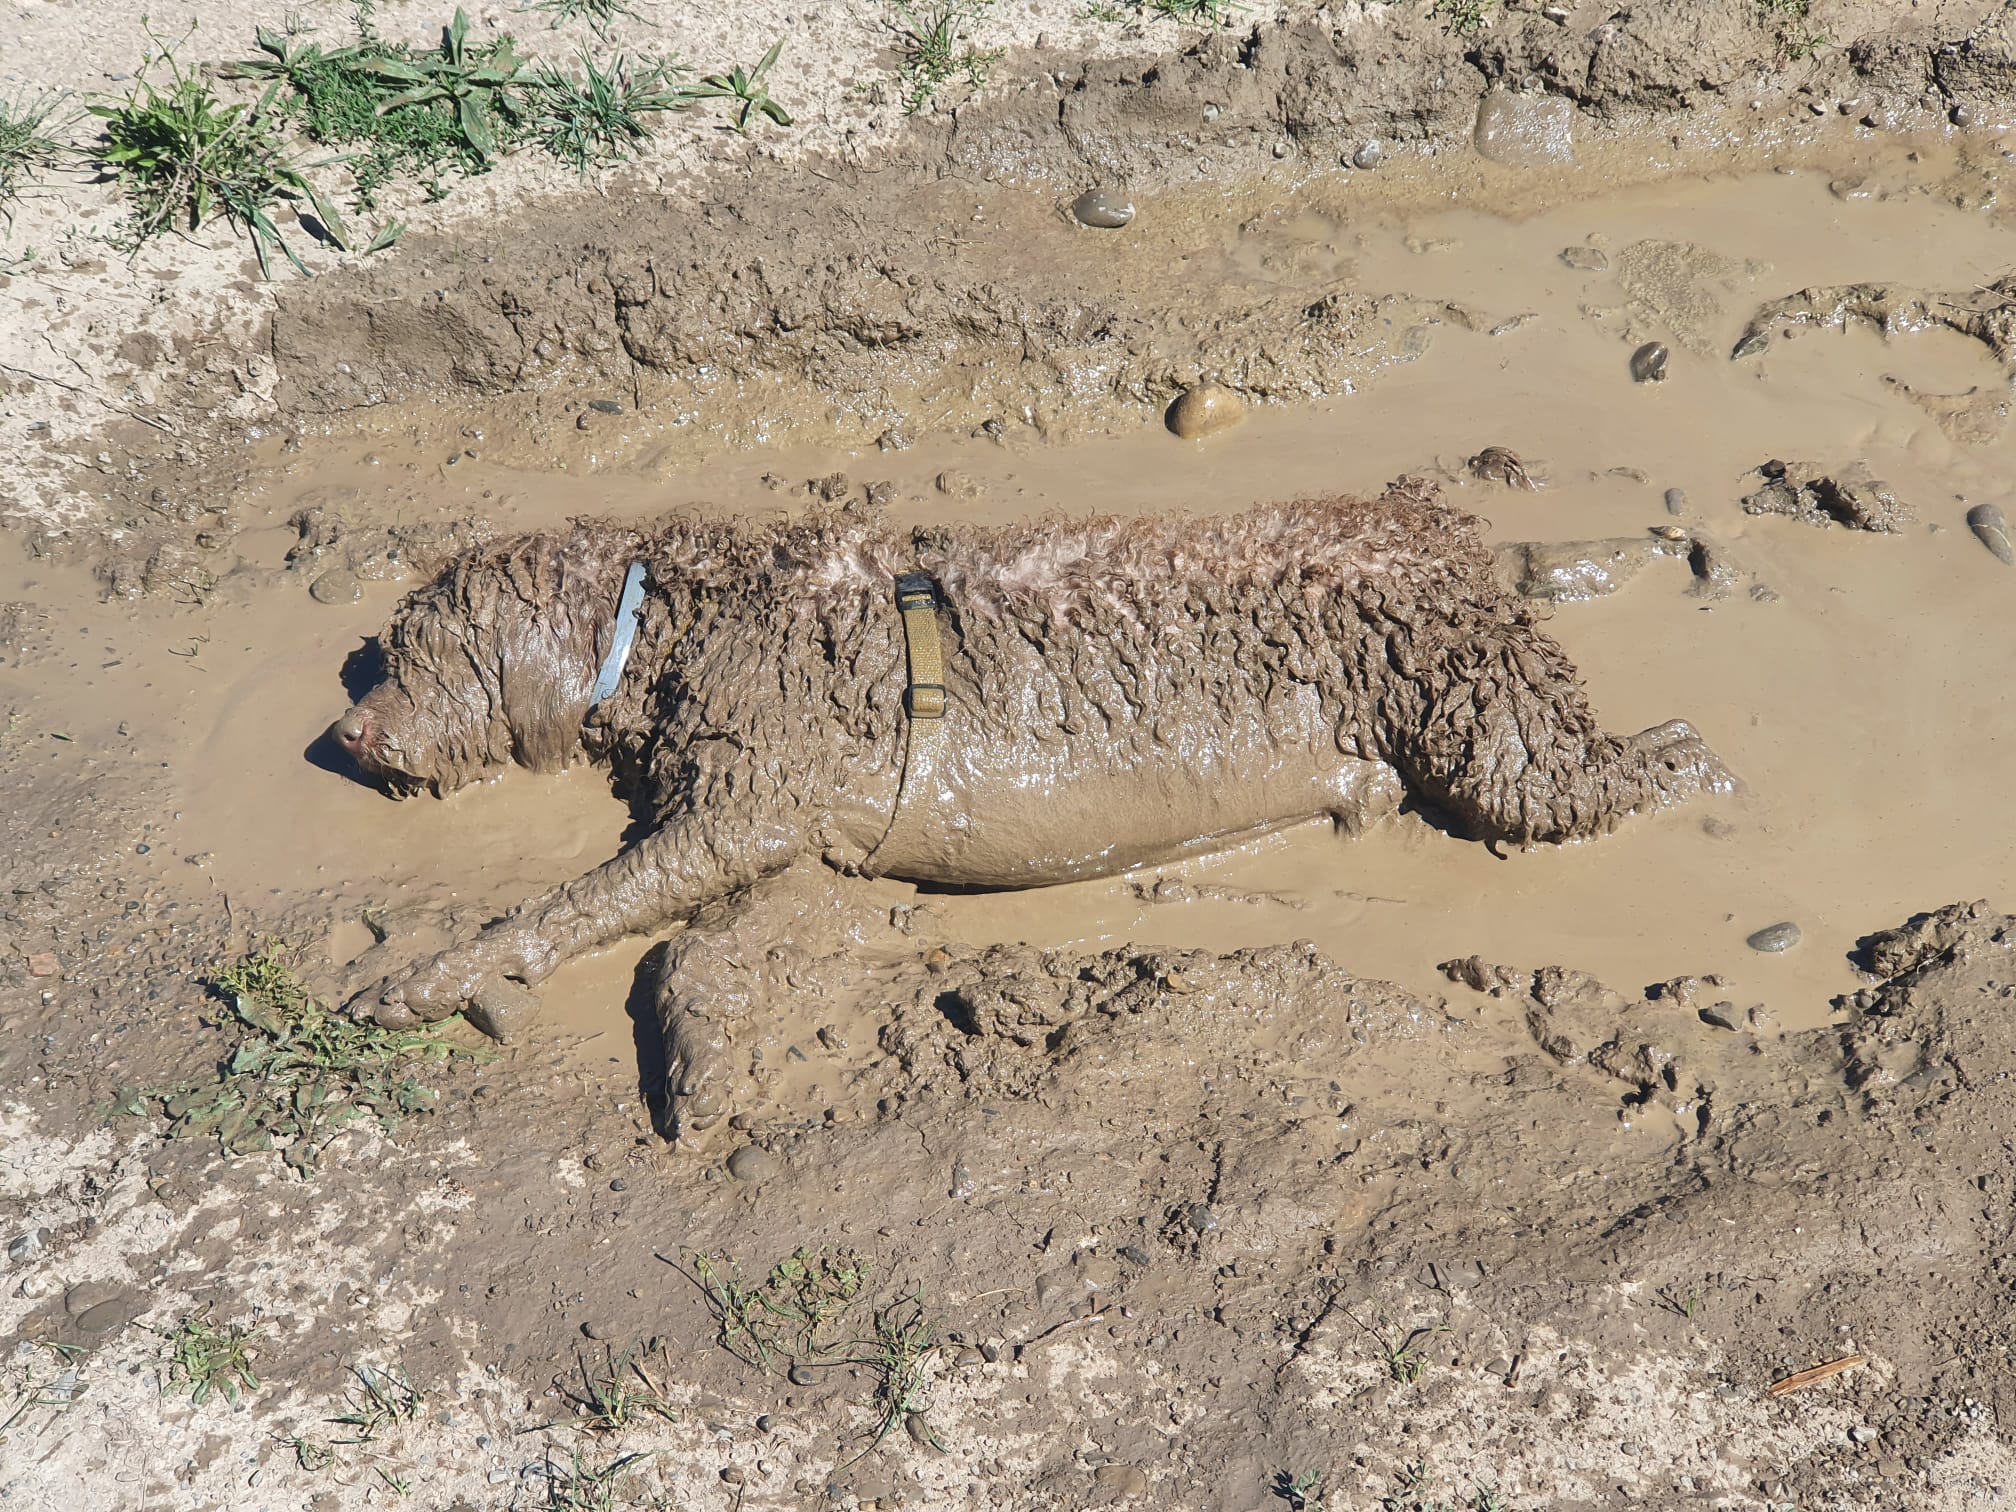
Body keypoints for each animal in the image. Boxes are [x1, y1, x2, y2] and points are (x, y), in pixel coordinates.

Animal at [330, 485, 1733, 1137]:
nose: (347, 734)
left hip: (1465, 703)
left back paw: (1695, 750)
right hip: (1464, 637)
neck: (672, 618)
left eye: (416, 650)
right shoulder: (784, 821)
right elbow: (676, 933)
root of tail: (1444, 542)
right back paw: (1642, 555)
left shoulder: (752, 795)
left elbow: (589, 898)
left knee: (1575, 773)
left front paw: (430, 976)